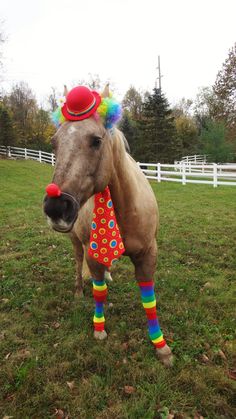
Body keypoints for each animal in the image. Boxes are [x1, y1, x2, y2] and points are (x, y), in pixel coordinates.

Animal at [43, 86, 173, 368]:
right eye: (54, 143)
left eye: (96, 141)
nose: (56, 208)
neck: (126, 207)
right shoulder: (93, 255)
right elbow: (98, 291)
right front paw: (99, 329)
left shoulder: (148, 255)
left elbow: (149, 300)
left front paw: (161, 346)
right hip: (76, 242)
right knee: (78, 263)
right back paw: (79, 291)